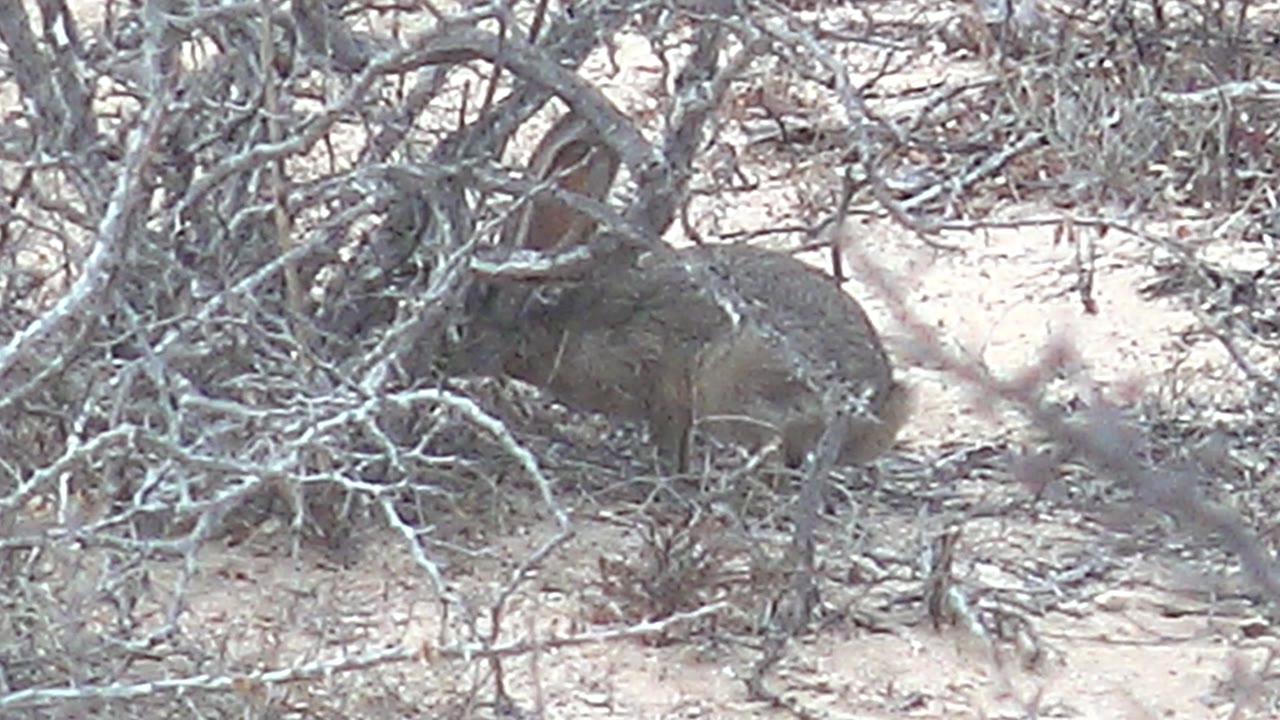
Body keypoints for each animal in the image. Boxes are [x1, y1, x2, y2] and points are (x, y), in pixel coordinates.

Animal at [448, 112, 911, 472]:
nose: (442, 363)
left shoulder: (663, 380)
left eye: (461, 324)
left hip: (734, 383)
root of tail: (878, 402)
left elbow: (669, 436)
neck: (550, 315)